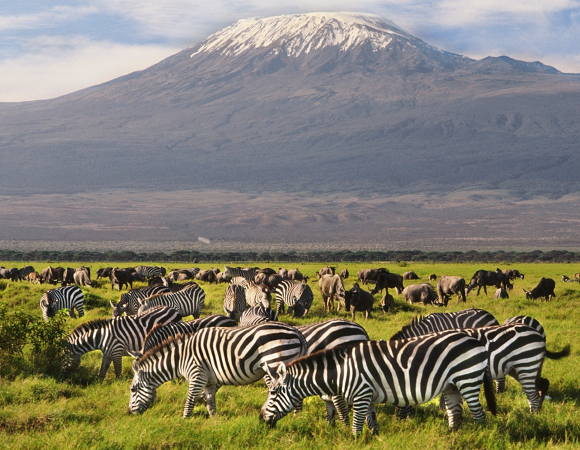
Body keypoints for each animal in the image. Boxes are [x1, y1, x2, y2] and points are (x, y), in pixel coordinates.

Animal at [127, 322, 308, 416]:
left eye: (133, 389)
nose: (129, 412)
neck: (180, 358)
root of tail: (296, 331)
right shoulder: (209, 382)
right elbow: (210, 403)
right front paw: (214, 423)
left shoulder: (196, 376)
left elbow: (189, 402)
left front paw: (184, 423)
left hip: (276, 362)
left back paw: (295, 419)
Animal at [260, 330, 496, 436]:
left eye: (273, 393)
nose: (261, 419)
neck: (342, 371)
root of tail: (474, 339)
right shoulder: (370, 398)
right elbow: (372, 424)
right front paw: (374, 439)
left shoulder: (361, 394)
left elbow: (356, 425)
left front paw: (354, 441)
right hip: (451, 385)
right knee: (455, 414)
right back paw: (450, 436)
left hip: (467, 379)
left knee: (479, 414)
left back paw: (481, 433)